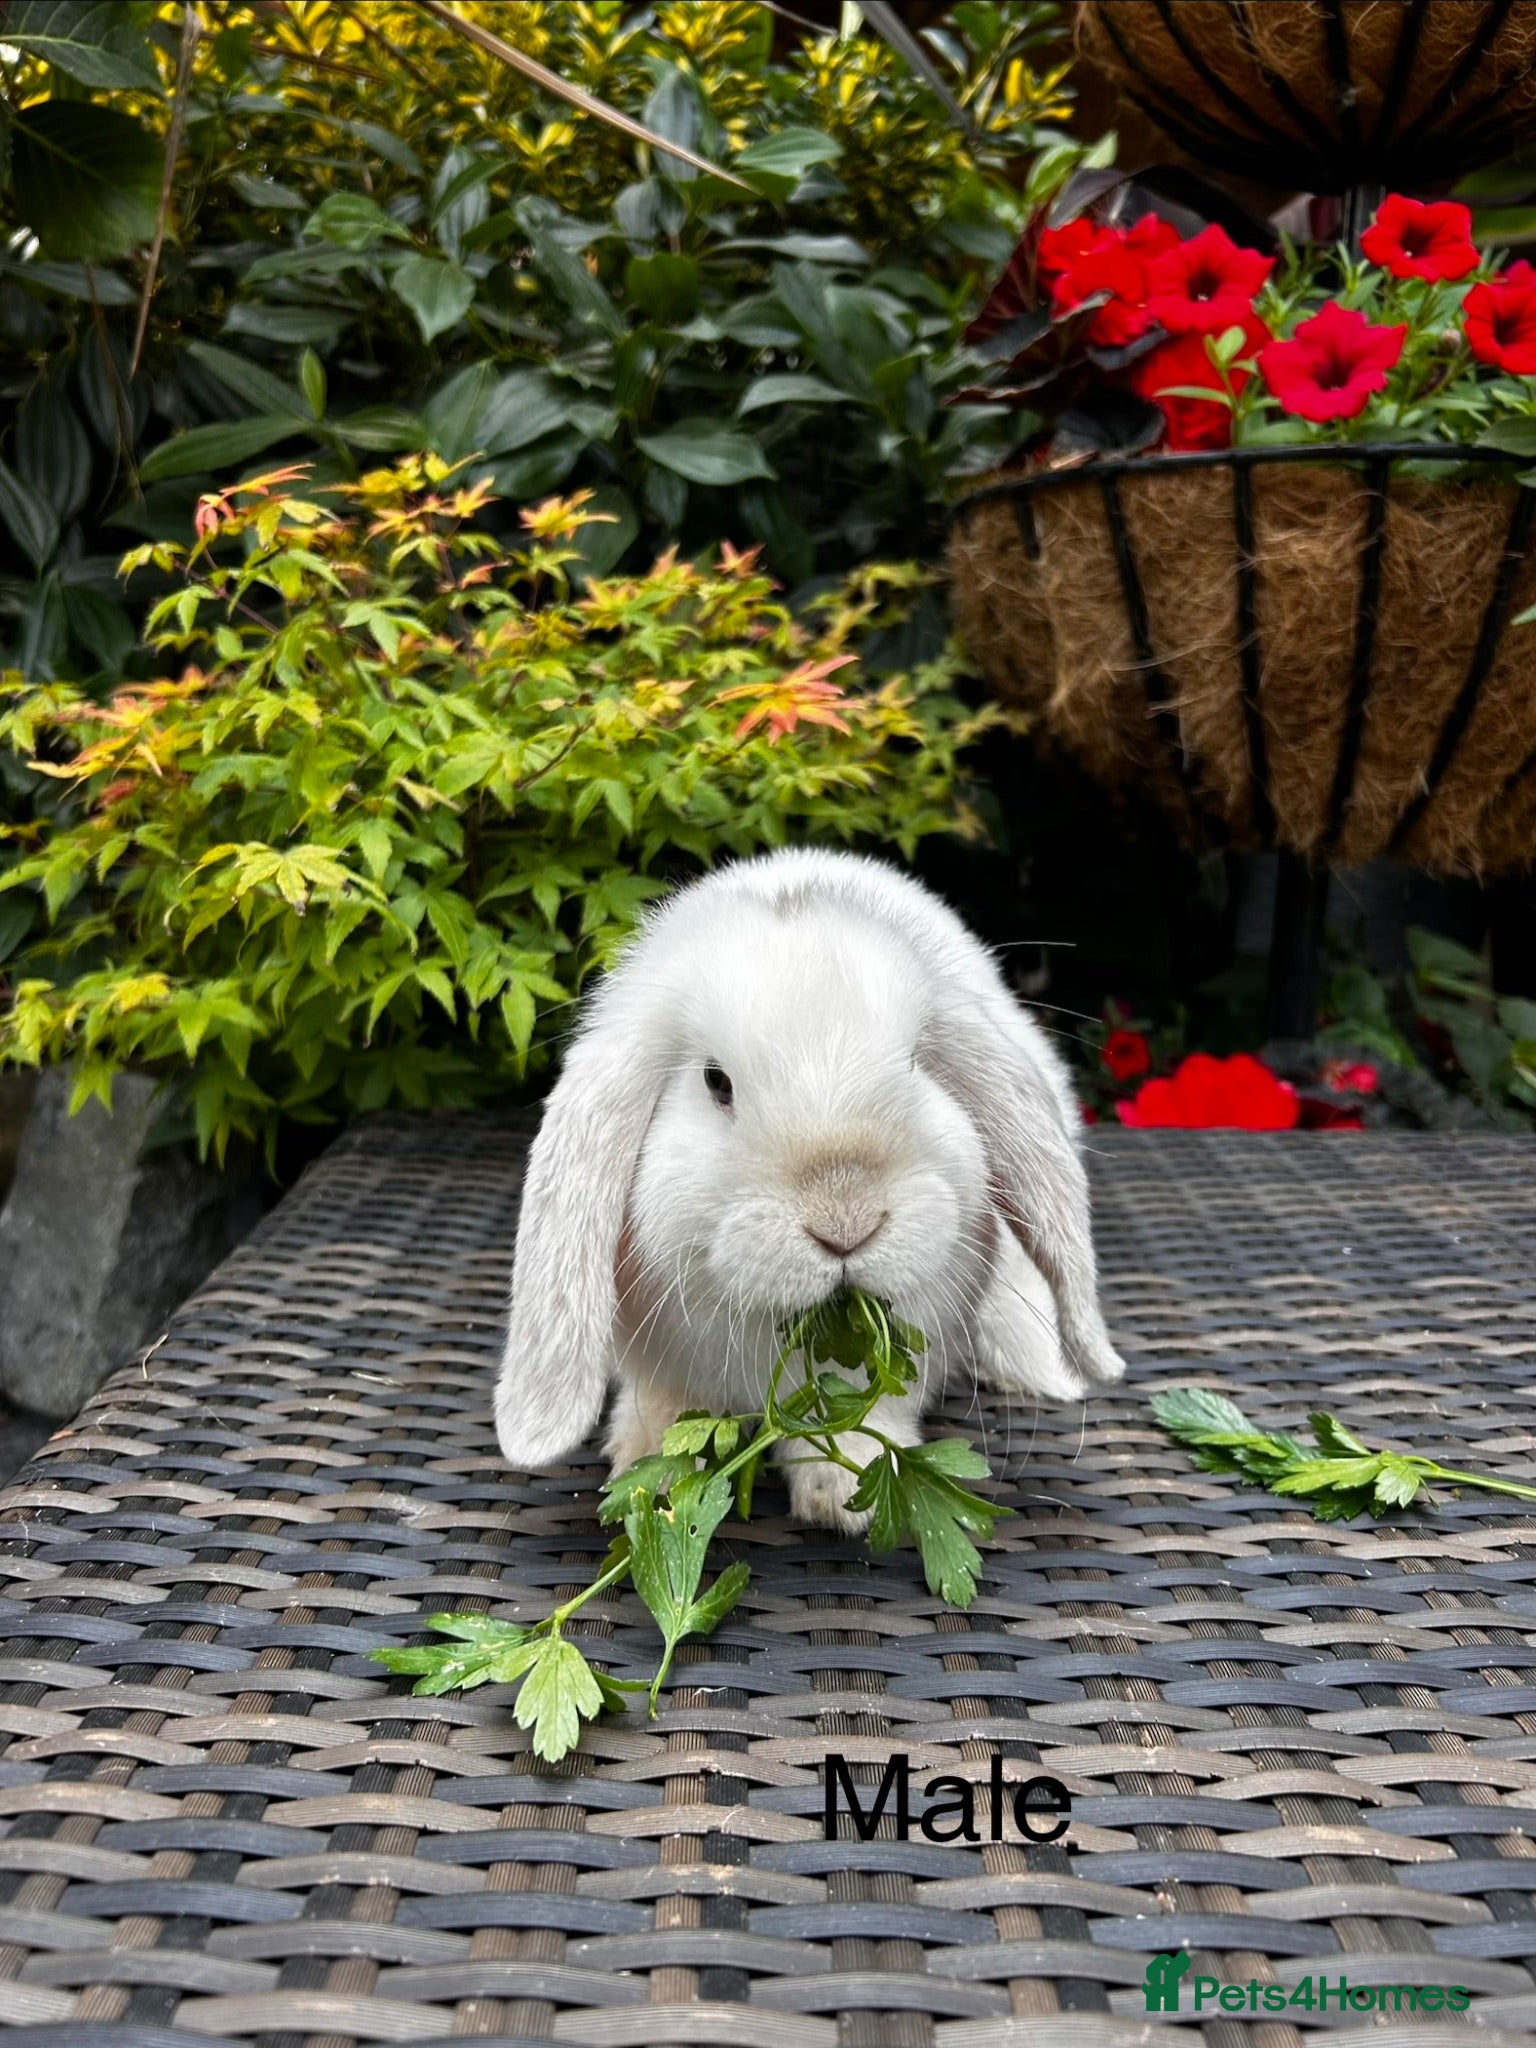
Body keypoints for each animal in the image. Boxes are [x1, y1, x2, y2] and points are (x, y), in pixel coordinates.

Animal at [493, 847, 1125, 1531]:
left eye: (914, 1065)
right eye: (716, 1081)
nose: (845, 1222)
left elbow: (867, 1420)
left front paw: (844, 1497)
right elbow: (666, 1408)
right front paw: (649, 1470)